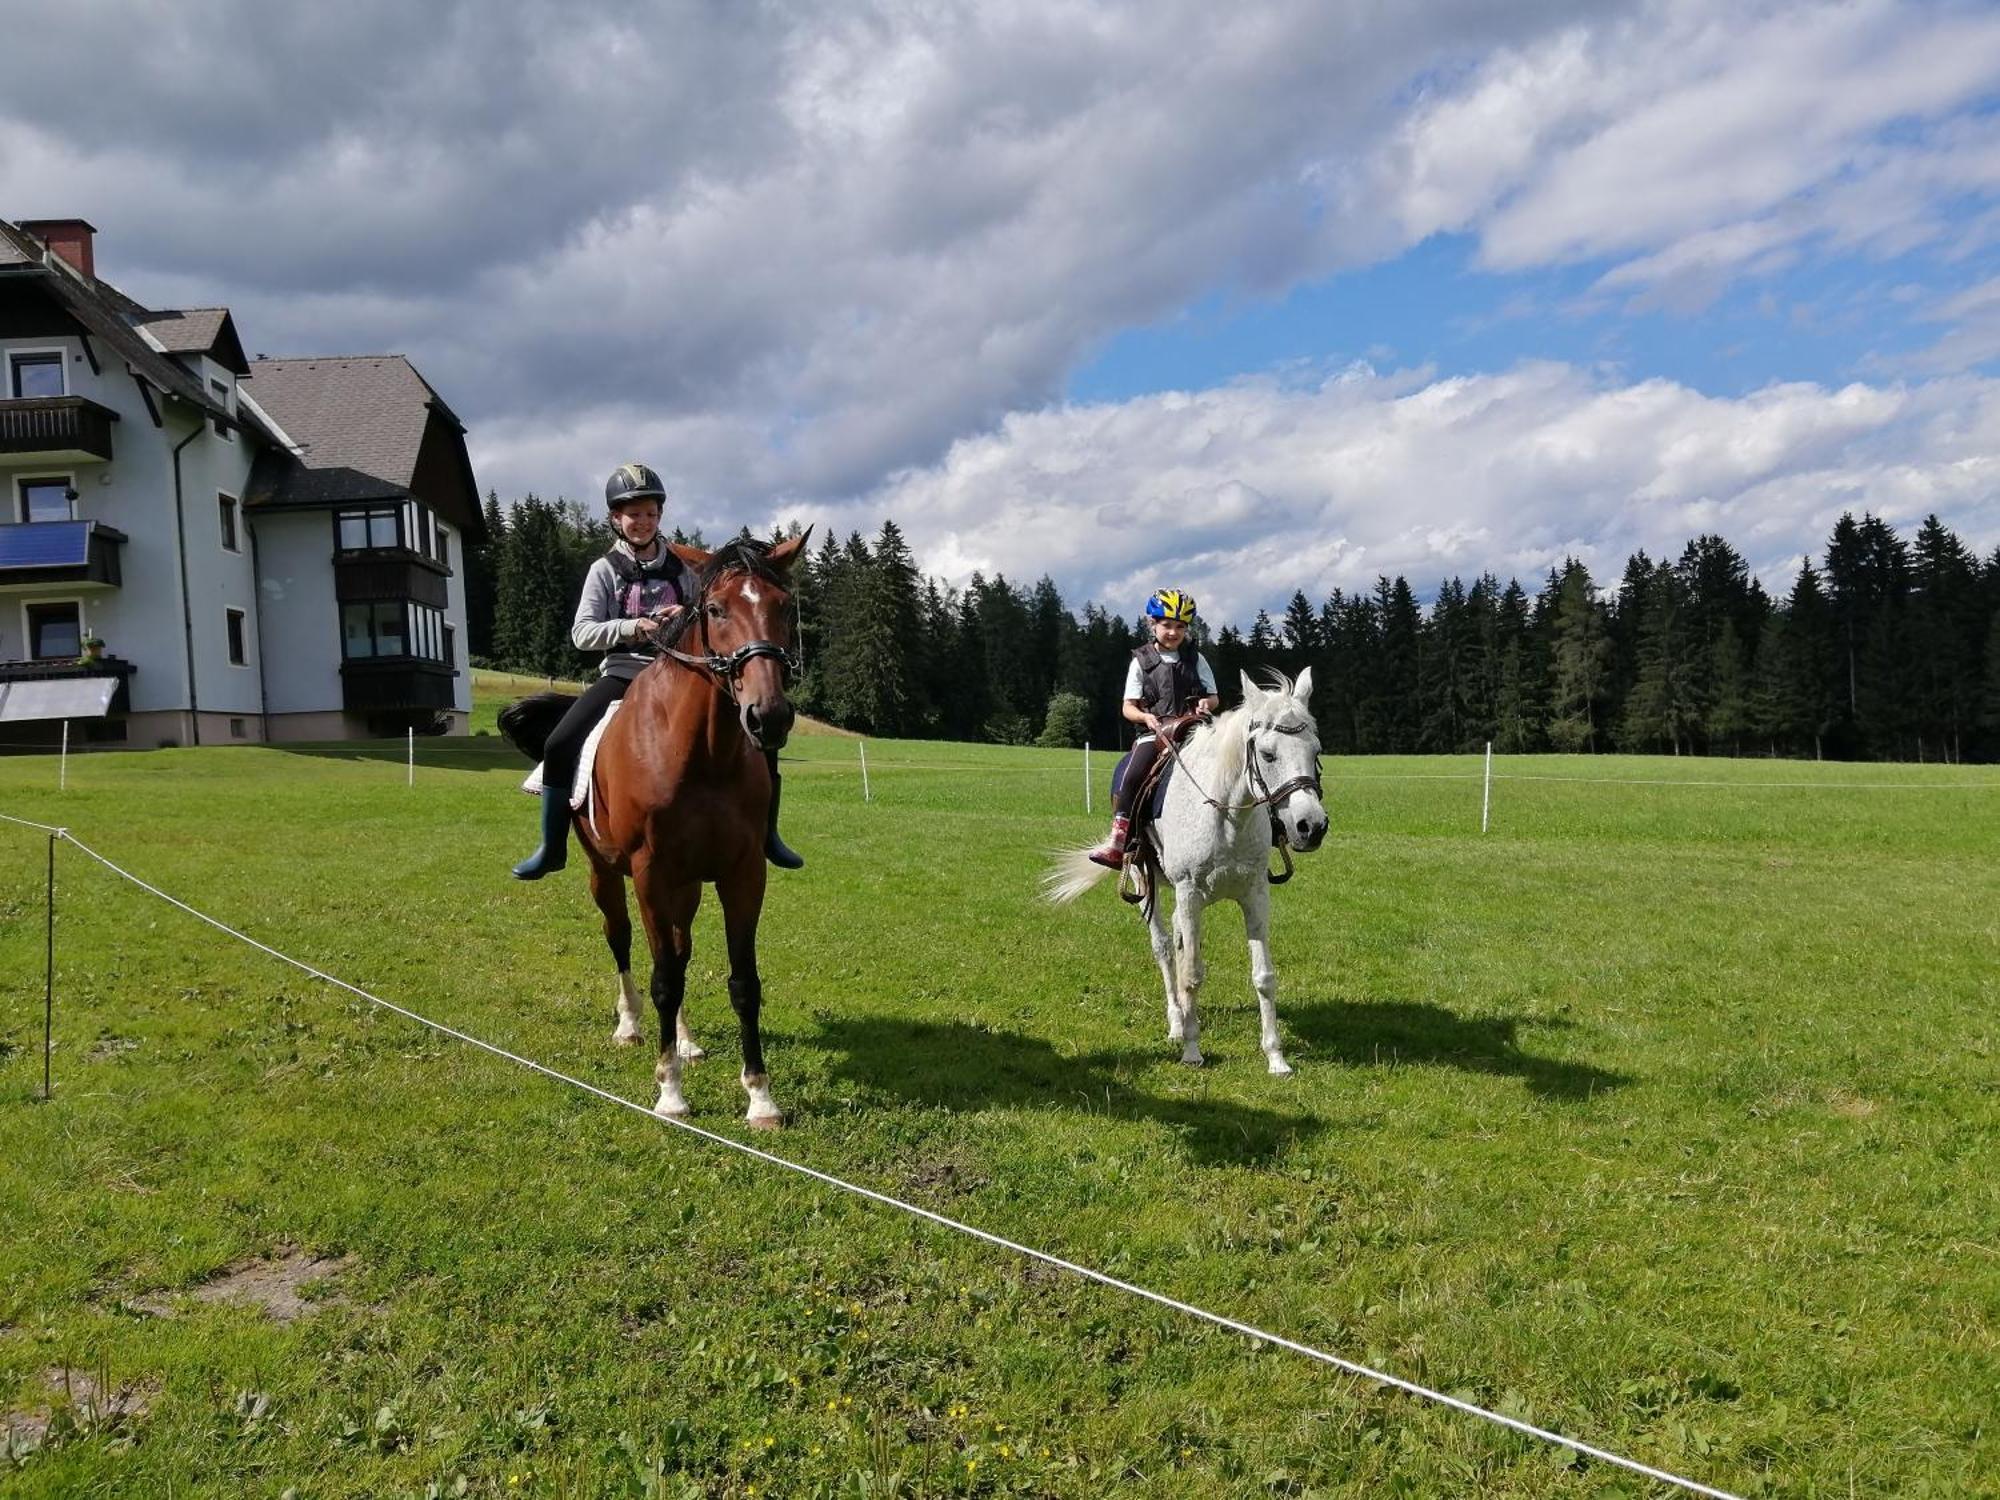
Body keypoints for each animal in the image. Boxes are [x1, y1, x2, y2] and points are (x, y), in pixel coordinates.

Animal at [504, 536, 808, 1136]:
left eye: (785, 607)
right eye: (715, 610)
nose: (769, 716)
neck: (704, 753)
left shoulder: (743, 874)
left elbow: (743, 982)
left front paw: (760, 1098)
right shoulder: (650, 873)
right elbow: (663, 976)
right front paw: (670, 1093)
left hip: (686, 887)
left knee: (682, 949)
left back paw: (686, 1040)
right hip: (607, 874)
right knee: (623, 940)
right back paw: (631, 1026)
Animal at [1048, 676, 1328, 1072]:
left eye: (1316, 751)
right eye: (1268, 754)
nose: (1311, 826)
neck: (1228, 816)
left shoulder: (1255, 894)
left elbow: (1264, 976)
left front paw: (1276, 1057)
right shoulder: (1189, 892)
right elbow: (1192, 974)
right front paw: (1192, 1049)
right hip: (1146, 883)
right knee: (1165, 950)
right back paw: (1177, 1023)